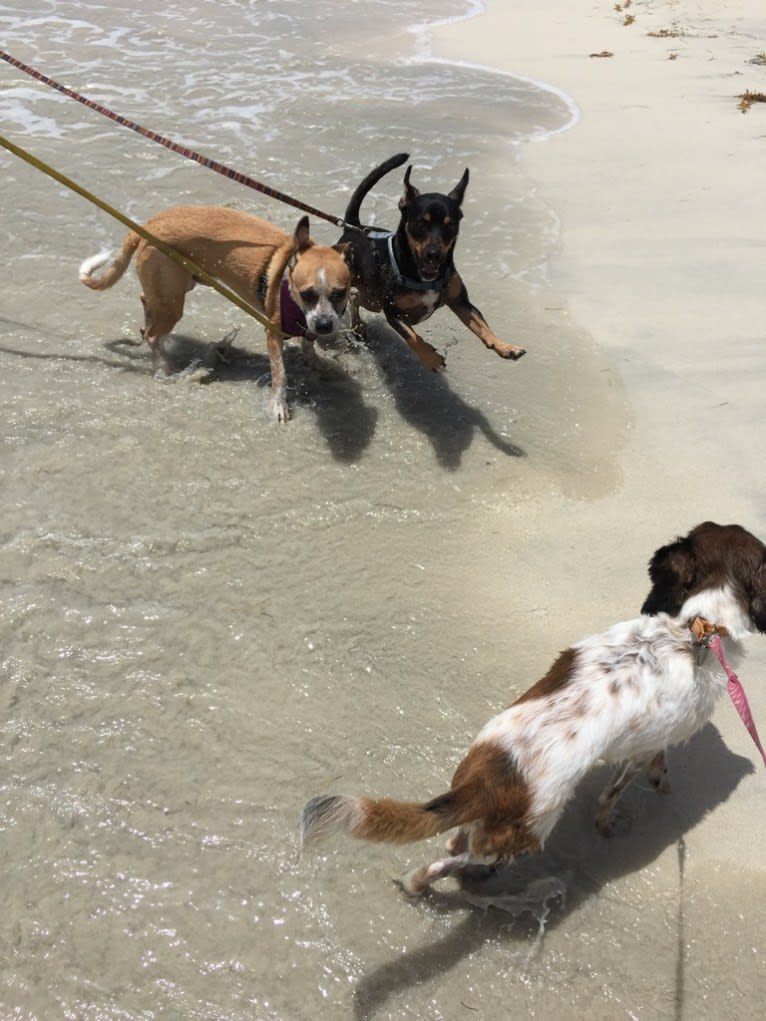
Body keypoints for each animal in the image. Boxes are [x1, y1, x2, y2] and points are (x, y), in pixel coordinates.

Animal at [79, 205, 353, 420]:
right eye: (307, 294)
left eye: (340, 293)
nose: (325, 325)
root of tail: (148, 225)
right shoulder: (273, 334)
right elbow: (280, 374)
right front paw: (277, 405)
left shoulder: (309, 326)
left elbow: (308, 344)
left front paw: (316, 362)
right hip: (172, 302)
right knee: (153, 335)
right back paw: (167, 370)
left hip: (171, 290)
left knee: (146, 304)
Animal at [302, 522, 766, 898]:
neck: (698, 629)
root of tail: (488, 783)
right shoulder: (646, 747)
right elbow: (624, 784)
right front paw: (624, 809)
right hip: (528, 832)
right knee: (450, 863)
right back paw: (424, 882)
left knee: (457, 842)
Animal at [341, 153, 527, 373]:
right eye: (421, 223)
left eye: (451, 225)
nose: (434, 255)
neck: (424, 277)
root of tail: (353, 227)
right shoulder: (392, 311)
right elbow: (412, 337)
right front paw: (431, 358)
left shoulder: (460, 302)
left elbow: (482, 325)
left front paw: (505, 346)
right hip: (369, 295)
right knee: (351, 297)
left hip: (372, 298)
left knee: (356, 297)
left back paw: (358, 327)